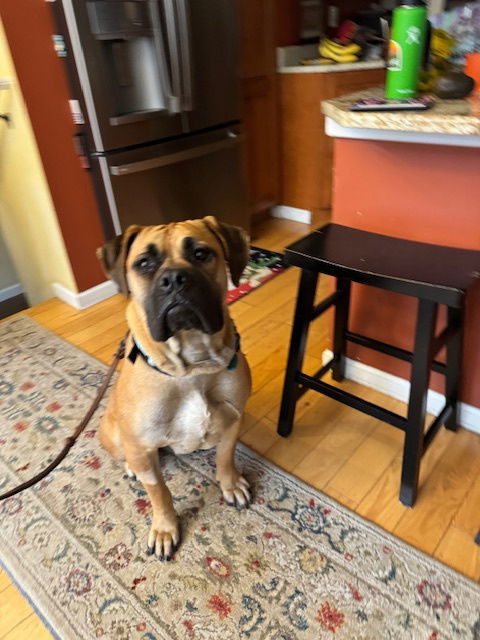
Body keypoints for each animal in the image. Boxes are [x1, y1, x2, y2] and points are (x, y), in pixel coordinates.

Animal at [94, 216, 251, 560]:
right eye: (144, 263)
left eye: (201, 254)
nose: (175, 279)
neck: (191, 367)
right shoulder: (142, 447)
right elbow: (159, 492)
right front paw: (165, 528)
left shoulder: (234, 419)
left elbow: (226, 457)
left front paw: (230, 483)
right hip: (115, 435)